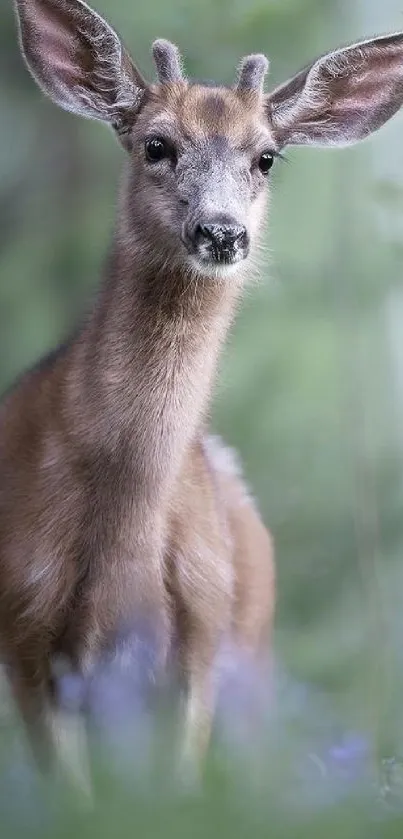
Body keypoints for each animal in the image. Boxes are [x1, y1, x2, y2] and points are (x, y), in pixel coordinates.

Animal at [0, 0, 403, 780]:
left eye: (266, 157)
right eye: (155, 145)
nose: (220, 232)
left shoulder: (200, 635)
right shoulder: (26, 631)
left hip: (253, 653)